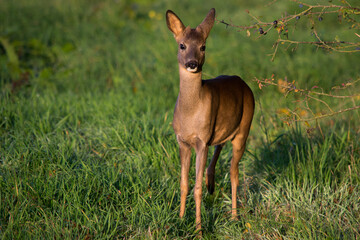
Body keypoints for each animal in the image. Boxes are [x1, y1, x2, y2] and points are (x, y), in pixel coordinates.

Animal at [166, 8, 253, 233]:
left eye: (203, 46)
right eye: (182, 45)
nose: (192, 64)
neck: (190, 113)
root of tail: (243, 83)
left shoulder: (201, 140)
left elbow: (195, 188)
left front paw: (198, 229)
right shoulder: (182, 141)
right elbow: (184, 184)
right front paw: (180, 220)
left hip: (244, 129)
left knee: (234, 172)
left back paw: (233, 216)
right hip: (221, 130)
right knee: (220, 146)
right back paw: (210, 183)